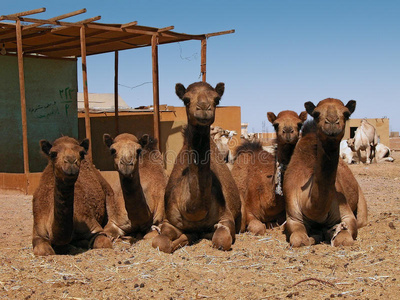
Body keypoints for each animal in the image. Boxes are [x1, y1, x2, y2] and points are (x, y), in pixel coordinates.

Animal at [152, 81, 241, 252]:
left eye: (217, 100)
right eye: (186, 100)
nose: (204, 108)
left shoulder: (226, 217)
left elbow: (221, 240)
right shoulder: (169, 220)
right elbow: (160, 242)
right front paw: (184, 238)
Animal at [282, 99, 368, 248]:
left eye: (346, 114)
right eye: (316, 114)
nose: (332, 122)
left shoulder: (346, 214)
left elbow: (345, 238)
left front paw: (328, 233)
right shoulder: (293, 217)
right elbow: (298, 239)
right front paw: (315, 236)